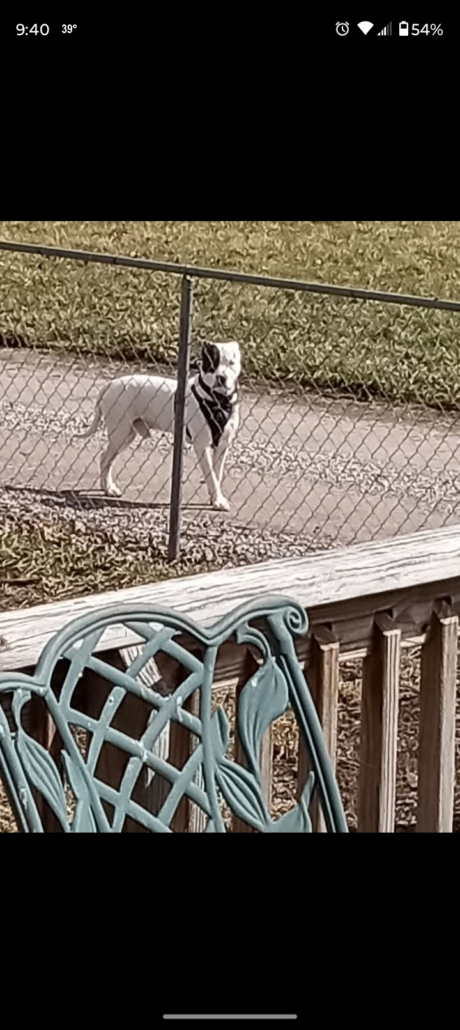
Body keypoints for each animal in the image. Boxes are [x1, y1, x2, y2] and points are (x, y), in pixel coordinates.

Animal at [78, 341, 241, 511]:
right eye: (212, 364)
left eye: (231, 363)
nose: (221, 377)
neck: (218, 400)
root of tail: (110, 384)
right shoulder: (202, 446)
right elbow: (211, 475)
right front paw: (218, 501)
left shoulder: (222, 446)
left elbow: (216, 475)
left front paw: (215, 498)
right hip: (120, 433)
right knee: (105, 458)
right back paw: (109, 488)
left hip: (127, 435)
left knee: (106, 458)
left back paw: (106, 487)